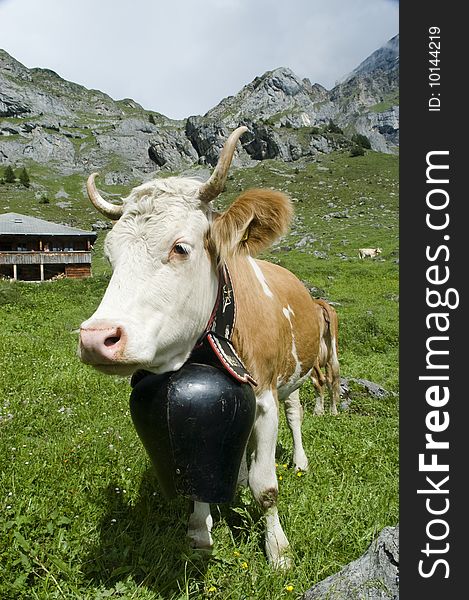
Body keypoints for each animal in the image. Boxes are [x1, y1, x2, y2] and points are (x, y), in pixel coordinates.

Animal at [77, 125, 330, 568]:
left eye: (180, 247)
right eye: (110, 255)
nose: (96, 338)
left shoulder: (265, 396)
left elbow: (267, 486)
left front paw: (278, 550)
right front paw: (200, 530)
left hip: (294, 375)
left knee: (296, 413)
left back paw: (300, 460)